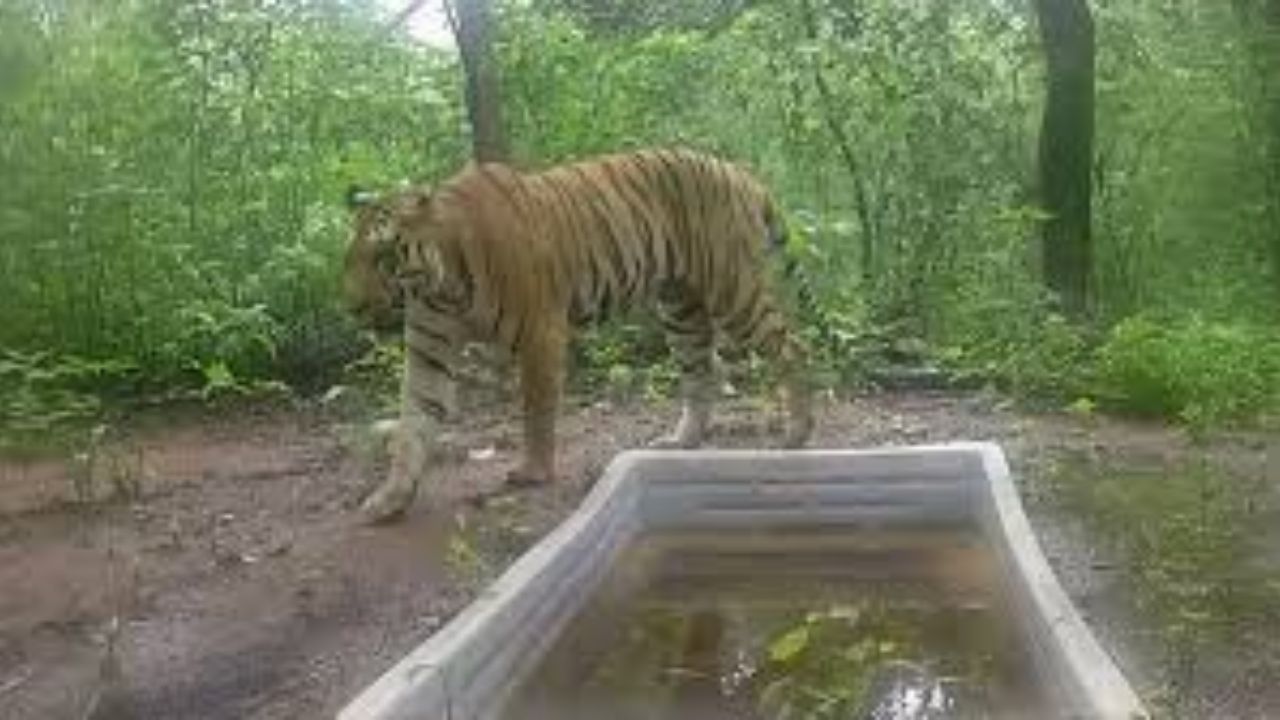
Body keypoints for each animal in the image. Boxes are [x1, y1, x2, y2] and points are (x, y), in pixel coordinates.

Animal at [343, 147, 813, 523]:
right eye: (350, 260)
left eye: (383, 256)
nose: (354, 308)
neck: (442, 285)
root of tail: (741, 173)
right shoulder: (429, 350)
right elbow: (412, 425)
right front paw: (389, 499)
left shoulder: (541, 333)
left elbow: (536, 411)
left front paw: (533, 473)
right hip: (681, 307)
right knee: (702, 371)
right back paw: (681, 441)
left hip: (733, 290)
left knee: (791, 346)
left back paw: (796, 434)